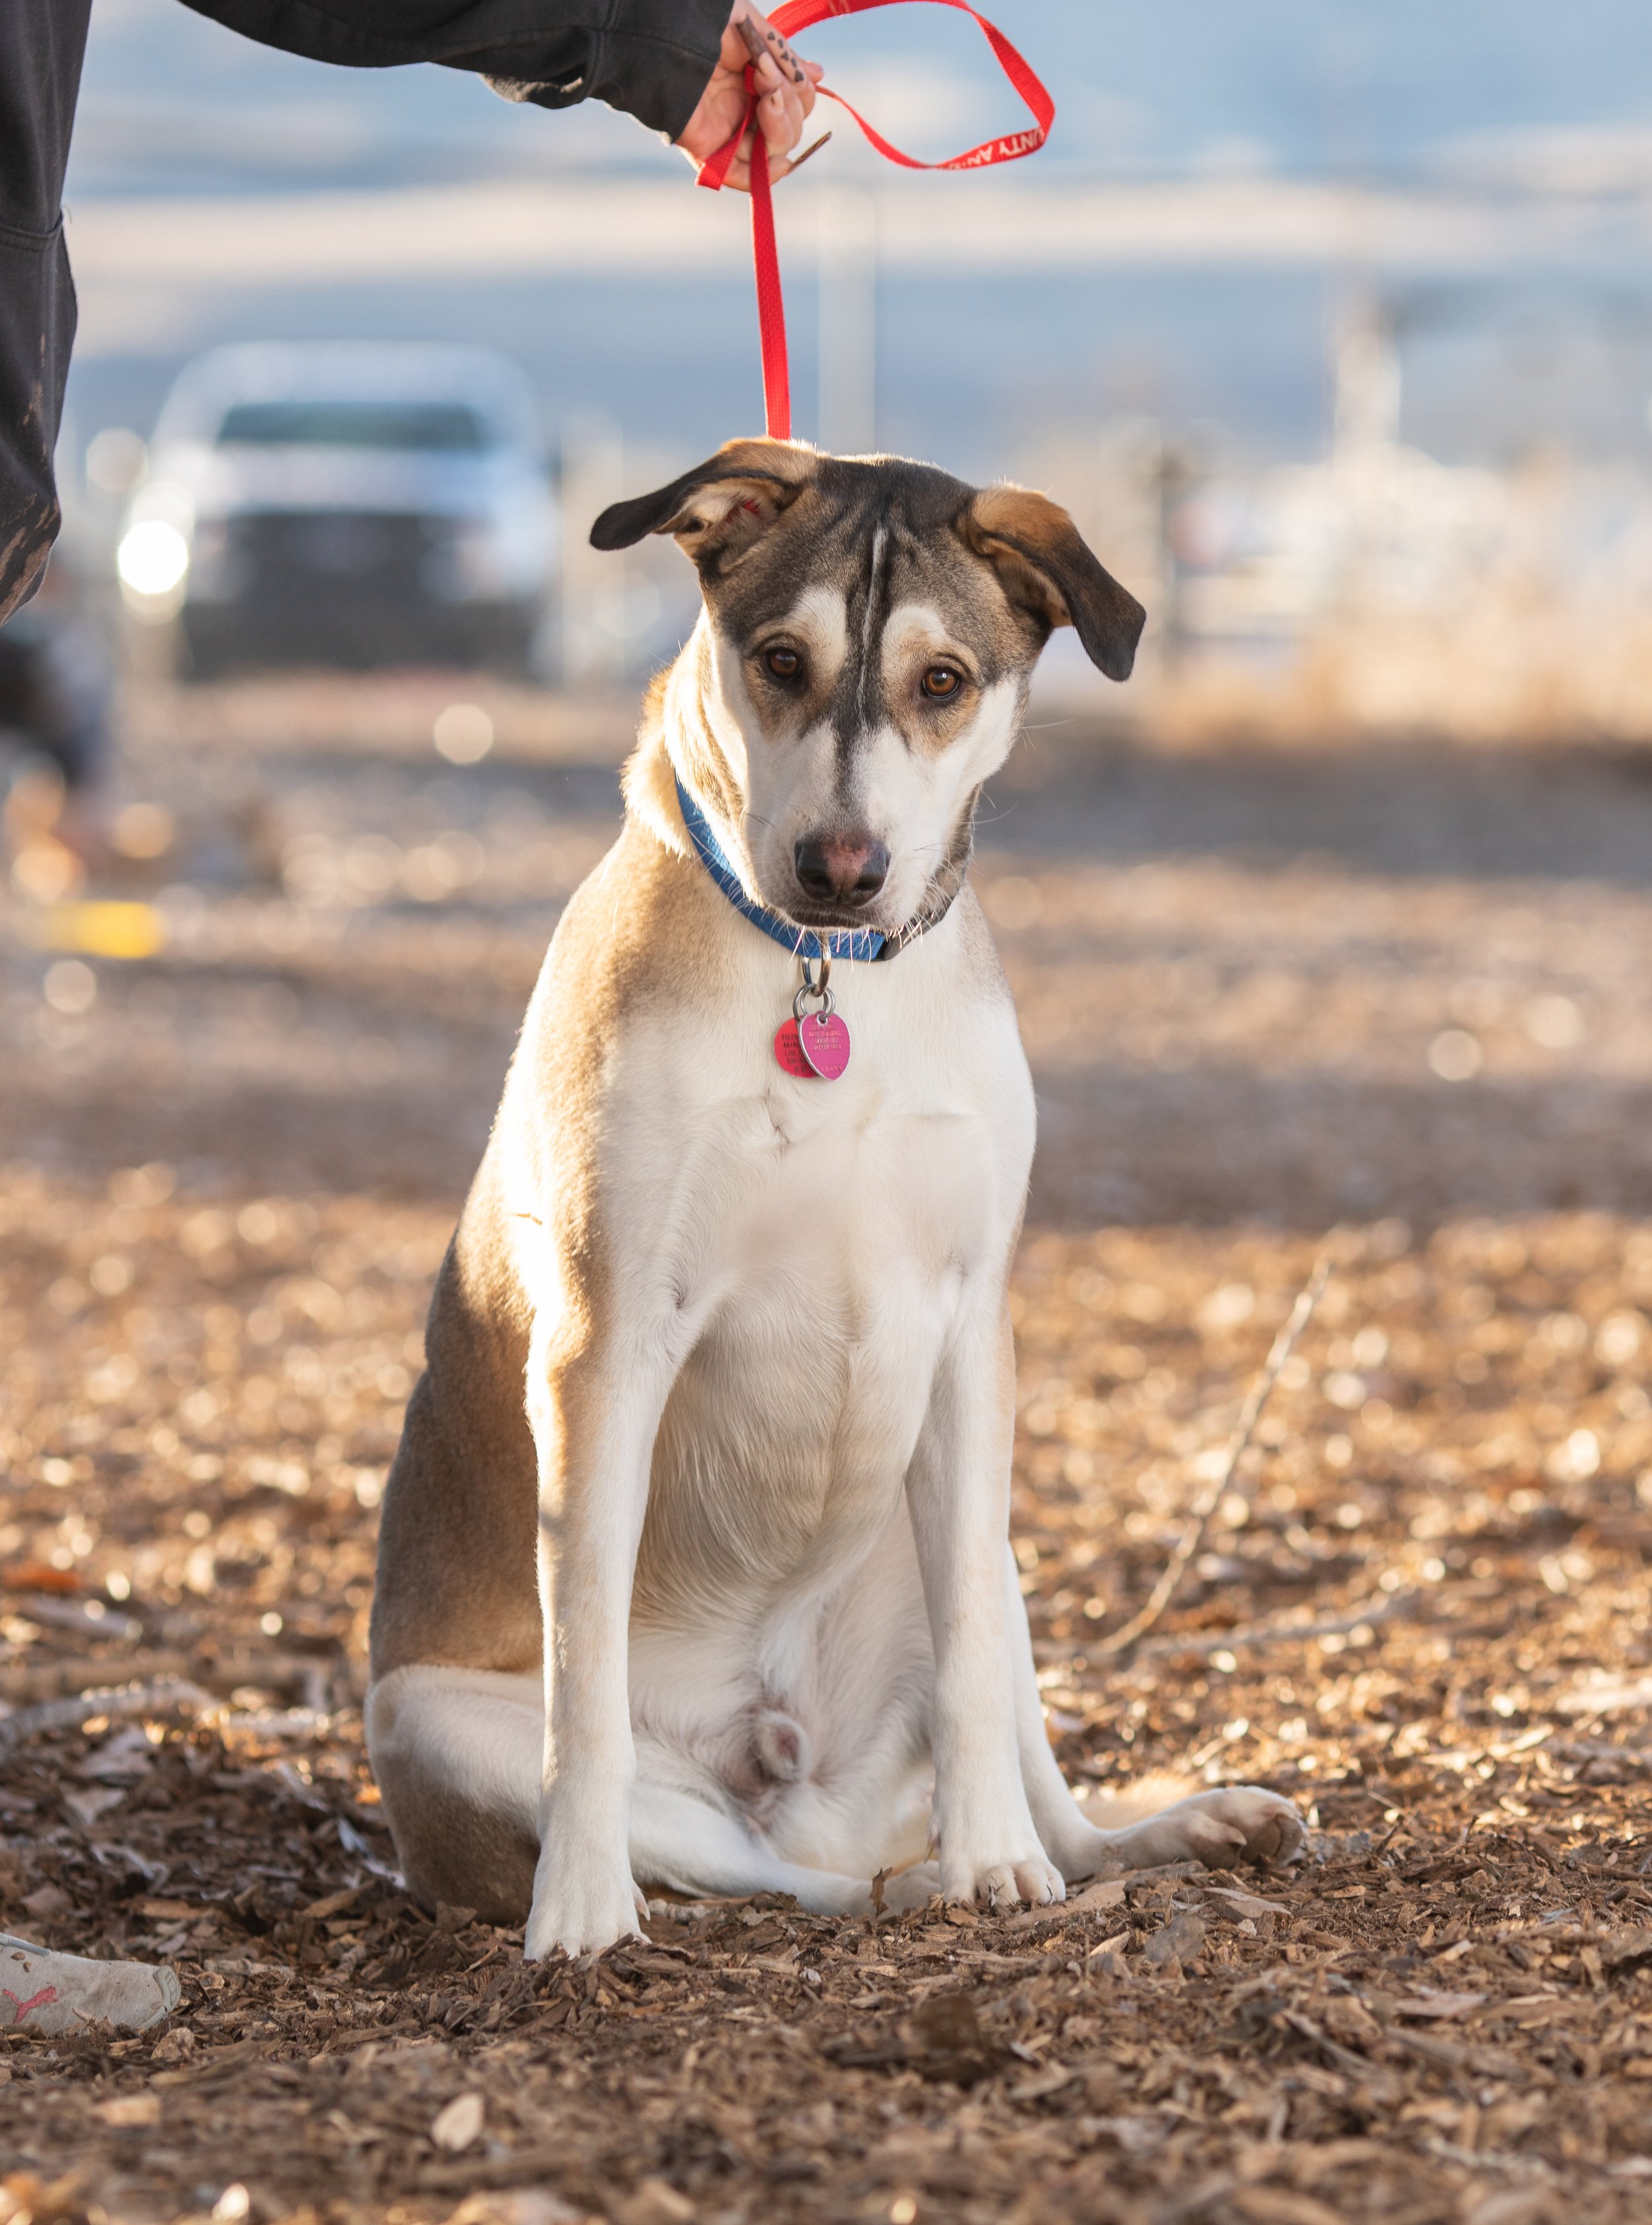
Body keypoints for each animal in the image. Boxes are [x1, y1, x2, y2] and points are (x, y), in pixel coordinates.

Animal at [364, 443, 1307, 1957]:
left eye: (944, 680)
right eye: (779, 659)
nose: (841, 866)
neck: (825, 976)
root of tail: (786, 1764)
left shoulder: (969, 1331)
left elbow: (975, 1677)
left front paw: (999, 1863)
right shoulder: (605, 1343)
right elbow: (585, 1691)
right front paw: (578, 1911)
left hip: (983, 1549)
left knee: (1005, 1776)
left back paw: (1126, 1834)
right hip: (435, 1721)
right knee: (770, 1875)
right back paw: (850, 1881)